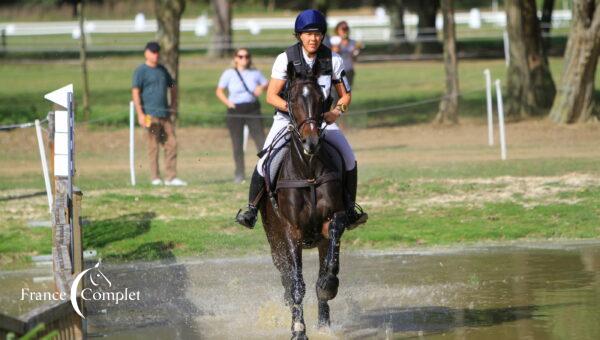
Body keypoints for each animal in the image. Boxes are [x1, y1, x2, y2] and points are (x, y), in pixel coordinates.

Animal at [258, 75, 346, 340]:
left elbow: (328, 267)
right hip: (275, 242)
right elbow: (296, 283)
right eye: (293, 99)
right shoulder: (291, 232)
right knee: (286, 277)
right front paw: (298, 330)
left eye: (320, 97)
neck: (308, 172)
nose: (311, 141)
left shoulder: (332, 221)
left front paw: (328, 286)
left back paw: (324, 322)